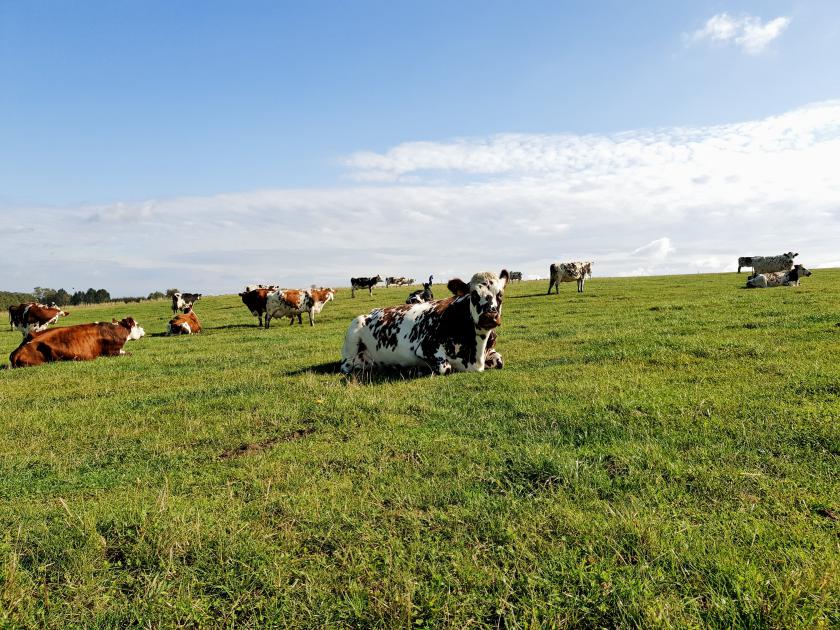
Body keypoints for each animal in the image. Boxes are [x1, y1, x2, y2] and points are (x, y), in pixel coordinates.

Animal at [341, 269, 509, 376]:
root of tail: (370, 312)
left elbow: (500, 360)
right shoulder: (425, 348)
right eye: (473, 294)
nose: (489, 316)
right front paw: (418, 369)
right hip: (352, 340)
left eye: (500, 294)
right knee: (347, 366)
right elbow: (445, 367)